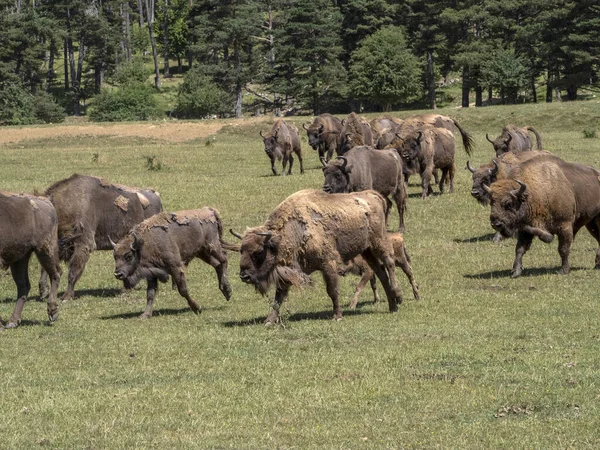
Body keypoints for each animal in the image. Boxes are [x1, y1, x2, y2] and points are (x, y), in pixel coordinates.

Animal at [0, 192, 61, 328]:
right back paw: (13, 321)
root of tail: (46, 202)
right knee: (24, 285)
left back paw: (52, 312)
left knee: (55, 274)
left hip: (44, 250)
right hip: (20, 259)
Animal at [230, 189, 404, 324]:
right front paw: (269, 321)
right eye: (241, 250)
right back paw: (393, 306)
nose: (244, 276)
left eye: (258, 252)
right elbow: (278, 297)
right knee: (380, 272)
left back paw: (398, 296)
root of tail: (373, 194)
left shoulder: (328, 264)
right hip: (366, 250)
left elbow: (332, 290)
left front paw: (337, 316)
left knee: (389, 263)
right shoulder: (287, 272)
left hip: (378, 241)